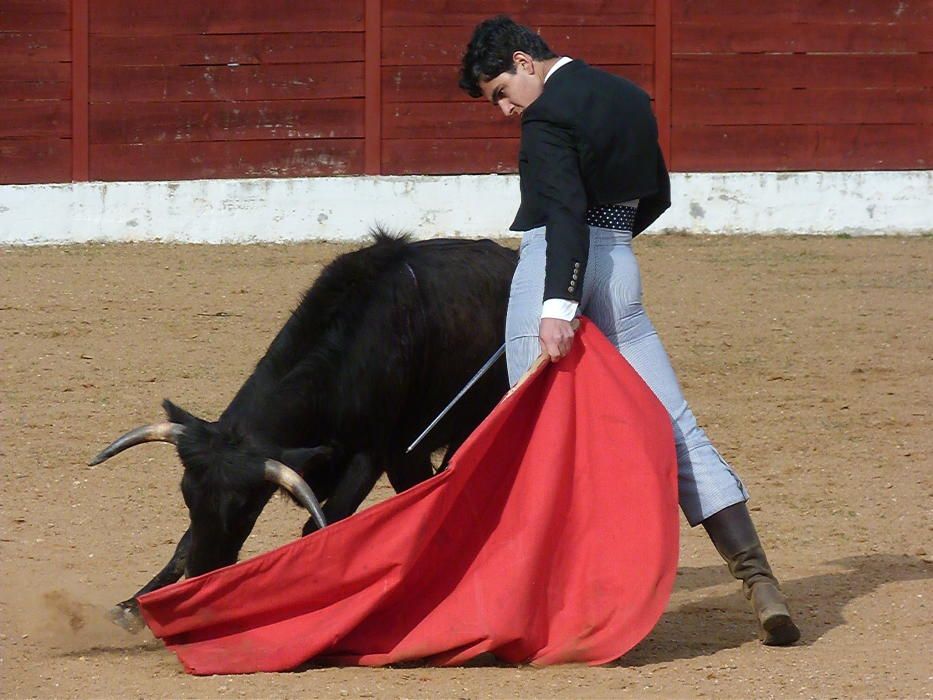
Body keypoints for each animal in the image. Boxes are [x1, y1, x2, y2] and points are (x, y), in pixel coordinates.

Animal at [93, 232, 516, 632]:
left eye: (245, 507)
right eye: (185, 495)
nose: (202, 576)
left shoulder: (381, 454)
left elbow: (326, 523)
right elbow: (185, 540)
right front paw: (132, 607)